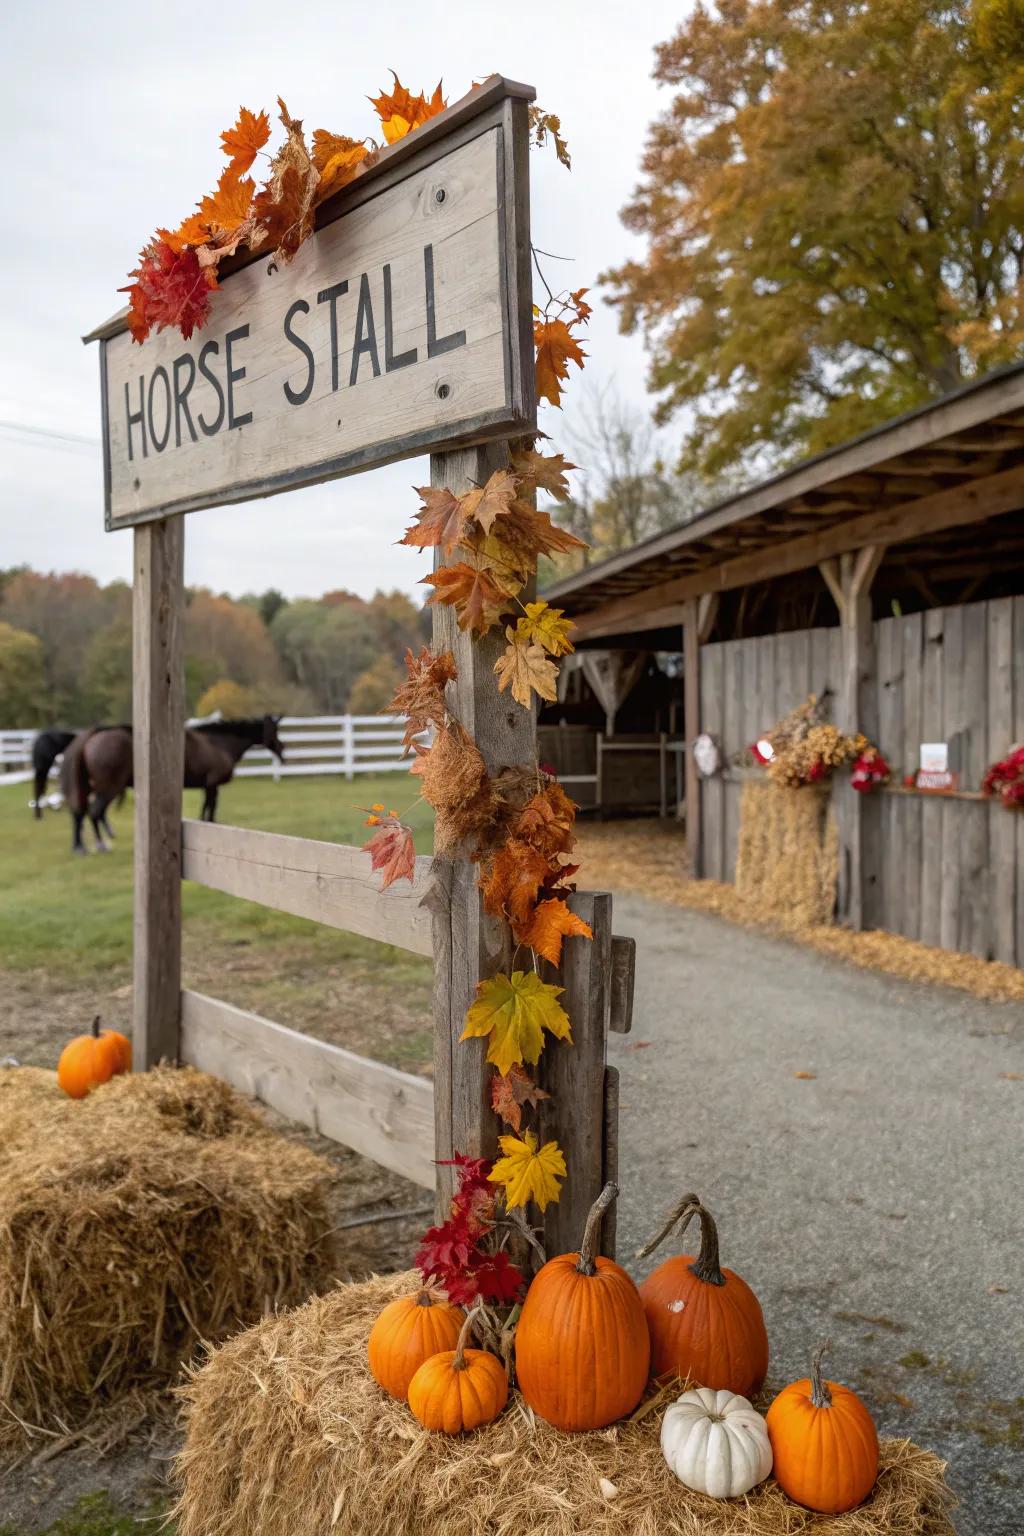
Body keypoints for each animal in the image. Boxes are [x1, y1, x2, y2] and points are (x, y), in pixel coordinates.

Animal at [61, 715, 284, 854]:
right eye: (274, 730)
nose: (282, 749)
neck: (219, 743)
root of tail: (94, 734)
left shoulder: (207, 786)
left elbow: (206, 807)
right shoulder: (212, 784)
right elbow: (211, 807)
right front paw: (209, 824)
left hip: (89, 786)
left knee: (79, 812)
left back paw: (80, 846)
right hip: (109, 786)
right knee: (94, 812)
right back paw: (101, 845)